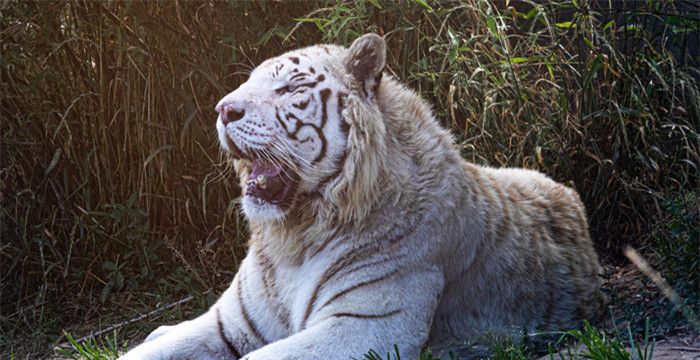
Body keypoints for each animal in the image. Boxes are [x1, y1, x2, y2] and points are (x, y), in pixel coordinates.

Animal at [119, 33, 600, 360]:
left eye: (290, 89)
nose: (223, 110)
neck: (296, 234)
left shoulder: (365, 327)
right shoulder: (227, 323)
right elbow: (139, 353)